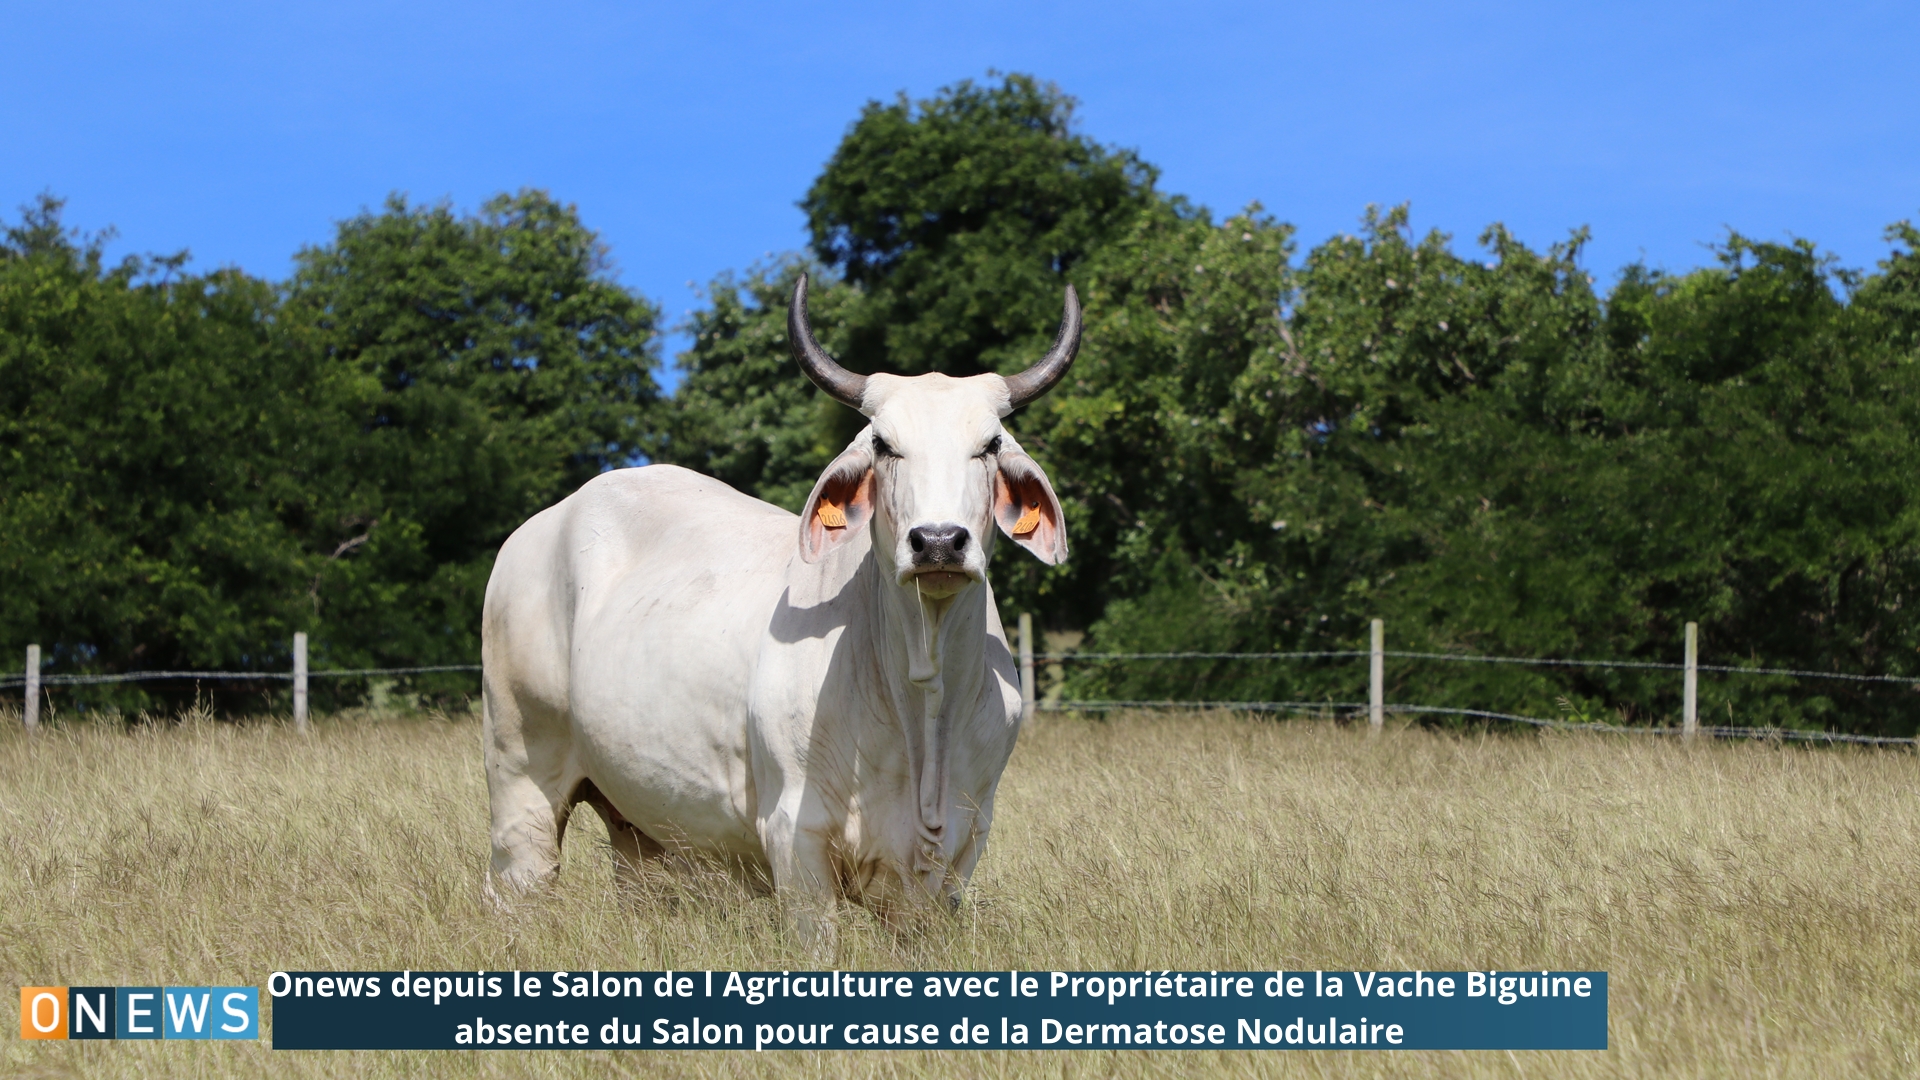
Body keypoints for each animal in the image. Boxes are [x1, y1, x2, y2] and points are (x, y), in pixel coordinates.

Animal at [480, 275, 1079, 943]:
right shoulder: (797, 840)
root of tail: (539, 527)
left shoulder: (956, 854)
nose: (939, 542)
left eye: (990, 444)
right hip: (519, 784)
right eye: (883, 445)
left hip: (642, 832)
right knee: (518, 881)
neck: (924, 695)